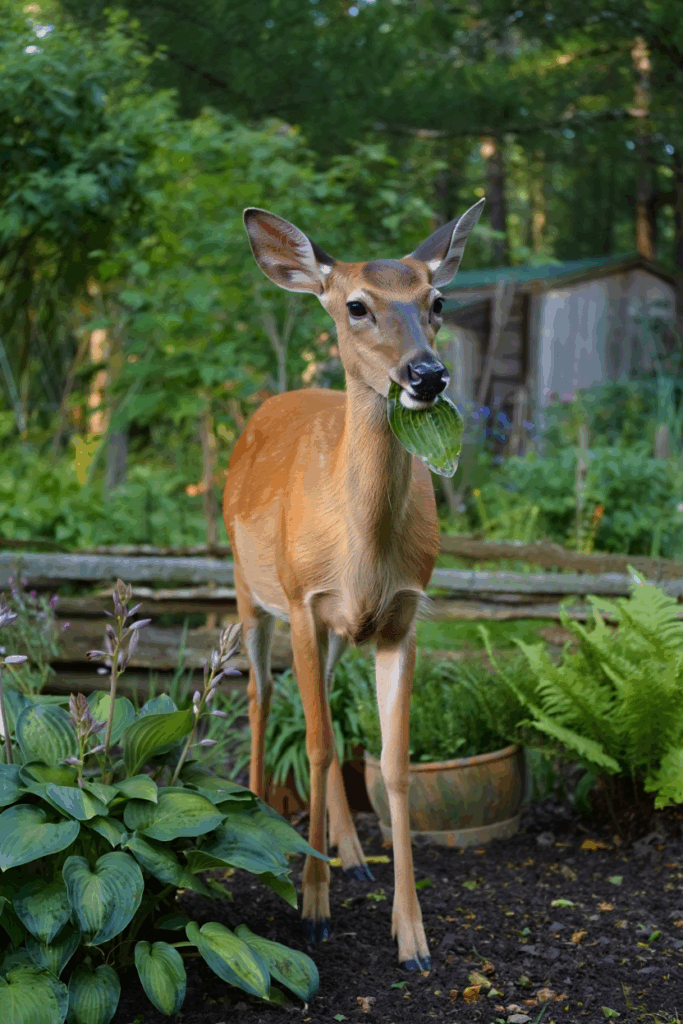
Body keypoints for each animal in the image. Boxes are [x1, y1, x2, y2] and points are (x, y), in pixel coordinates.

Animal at [223, 198, 484, 970]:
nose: (426, 374)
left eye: (436, 300)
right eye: (357, 305)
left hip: (341, 630)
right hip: (249, 589)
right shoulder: (304, 600)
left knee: (326, 715)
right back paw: (255, 814)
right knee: (260, 694)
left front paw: (413, 936)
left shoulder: (401, 617)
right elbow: (310, 746)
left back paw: (351, 855)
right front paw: (313, 909)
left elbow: (391, 765)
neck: (362, 551)